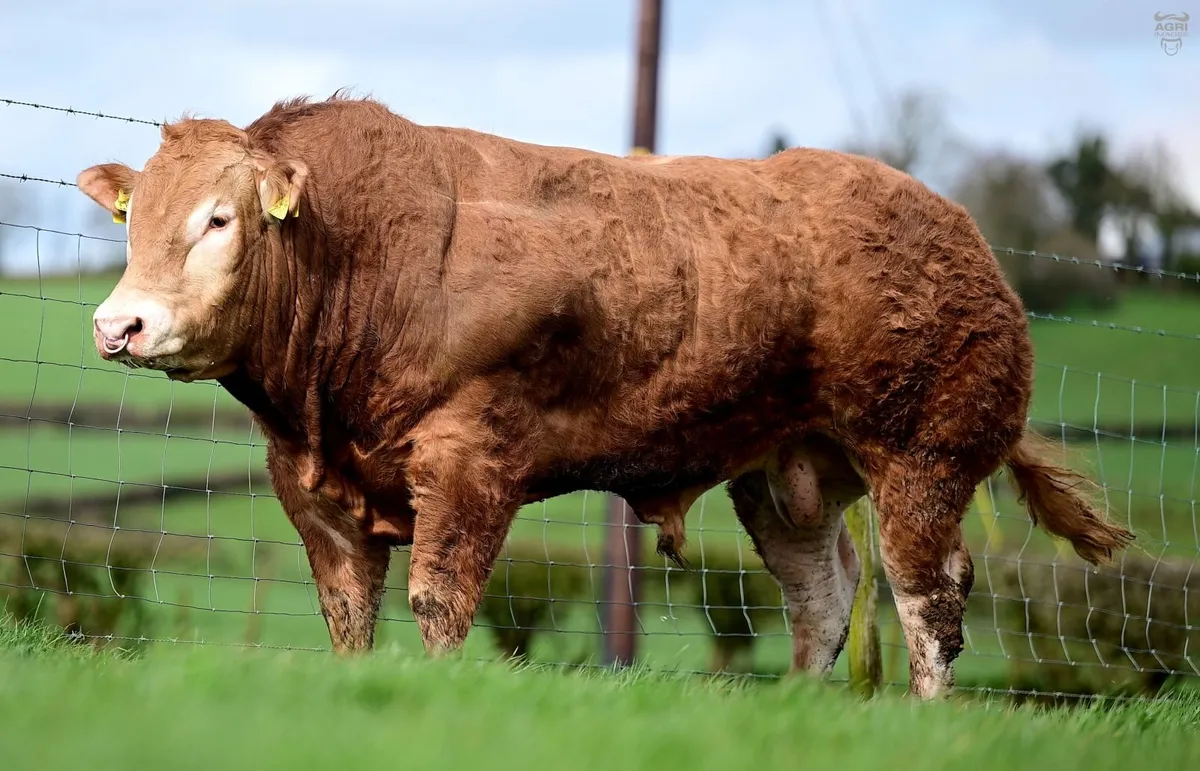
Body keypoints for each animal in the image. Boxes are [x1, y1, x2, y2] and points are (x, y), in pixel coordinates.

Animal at [76, 94, 1133, 698]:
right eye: (134, 219)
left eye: (219, 219)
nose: (119, 324)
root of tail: (956, 225)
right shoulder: (313, 491)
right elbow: (348, 616)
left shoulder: (471, 464)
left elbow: (439, 602)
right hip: (786, 473)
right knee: (823, 596)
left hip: (924, 456)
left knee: (929, 599)